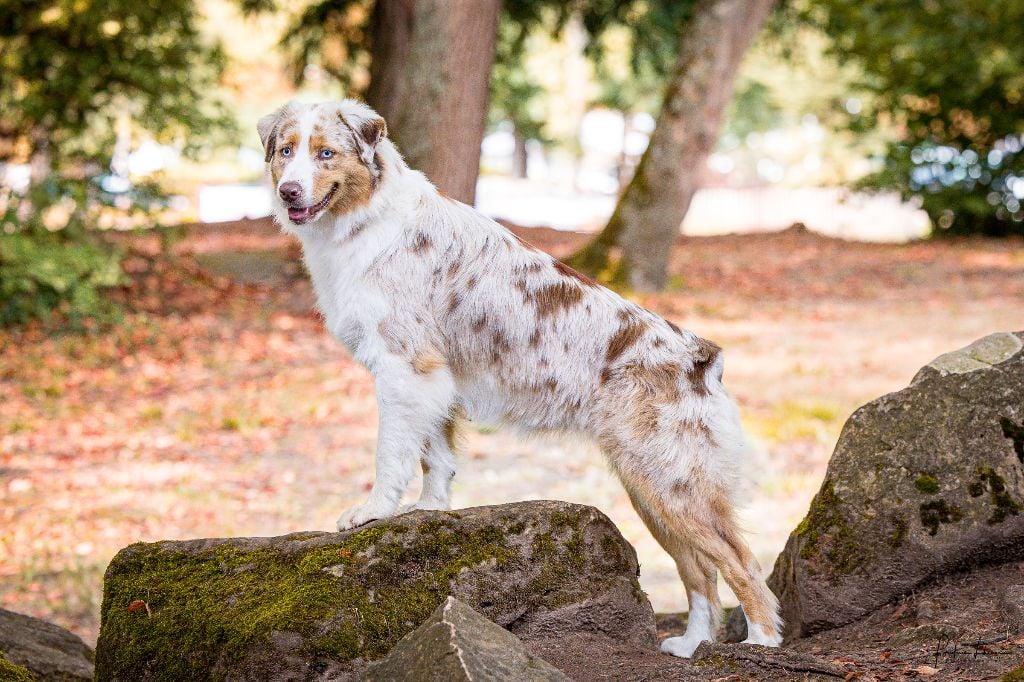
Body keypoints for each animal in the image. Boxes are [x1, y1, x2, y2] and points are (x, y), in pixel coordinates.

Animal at [258, 99, 782, 655]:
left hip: (675, 486)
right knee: (699, 571)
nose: (288, 191)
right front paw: (431, 511)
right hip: (651, 490)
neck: (367, 219)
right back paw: (691, 644)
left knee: (741, 562)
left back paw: (762, 643)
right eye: (286, 151)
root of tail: (703, 358)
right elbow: (434, 455)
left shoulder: (405, 364)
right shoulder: (432, 377)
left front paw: (374, 510)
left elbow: (392, 454)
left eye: (326, 153)